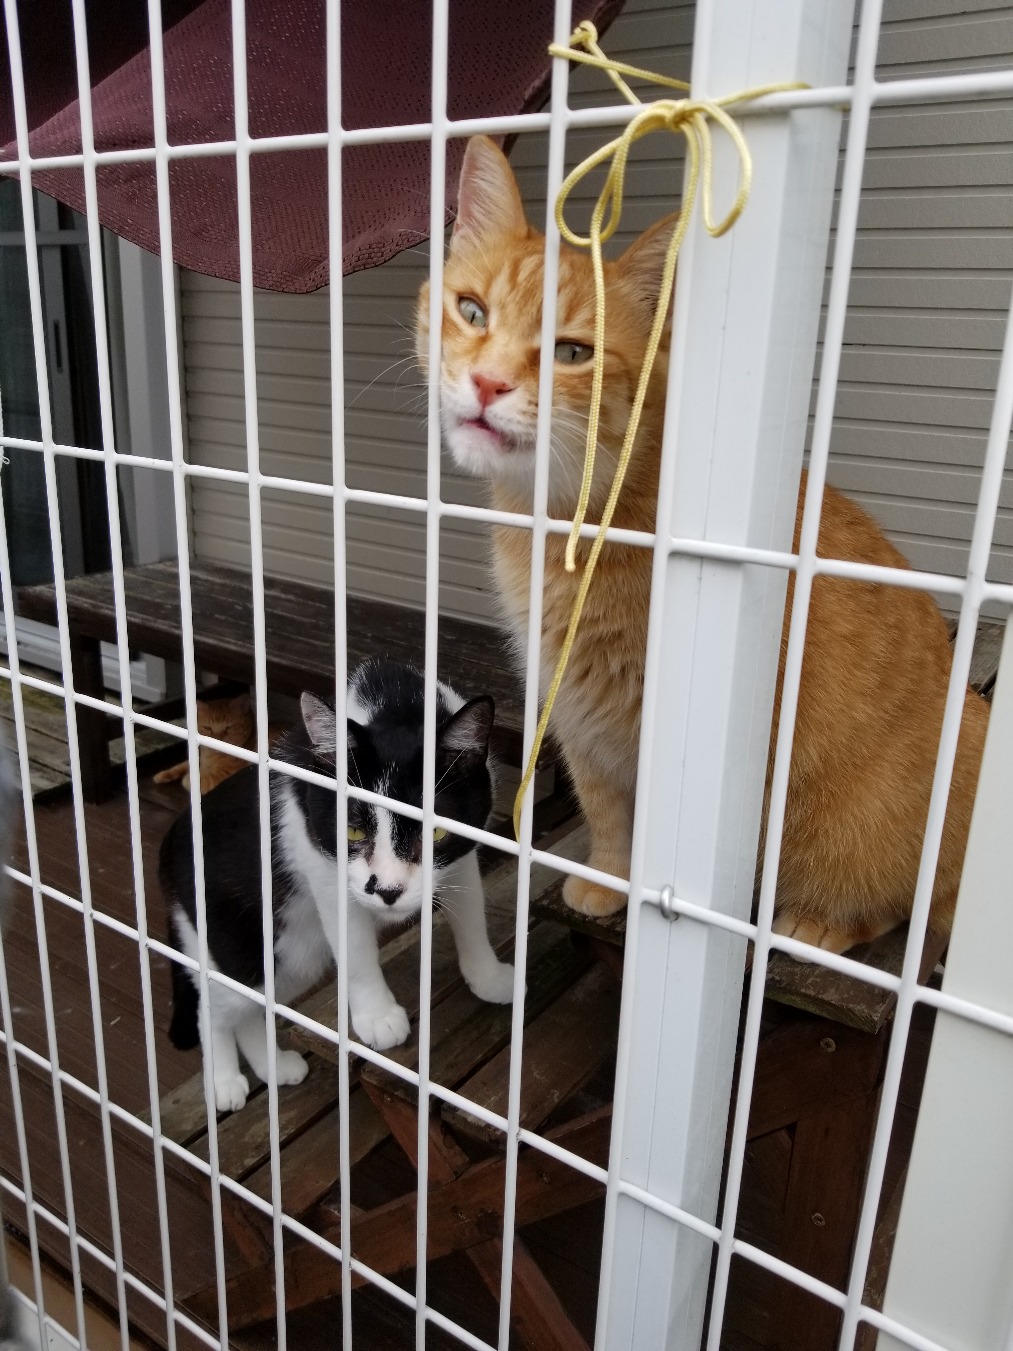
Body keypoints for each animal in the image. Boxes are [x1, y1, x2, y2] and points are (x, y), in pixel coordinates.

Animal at [160, 659, 515, 1112]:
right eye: (352, 830)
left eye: (434, 834)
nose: (388, 890)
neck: (394, 700)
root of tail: (171, 839)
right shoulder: (324, 869)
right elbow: (355, 948)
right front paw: (377, 1016)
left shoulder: (464, 850)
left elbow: (470, 911)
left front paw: (488, 977)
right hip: (232, 940)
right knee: (216, 1006)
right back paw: (223, 1082)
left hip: (294, 954)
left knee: (254, 1004)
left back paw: (275, 1067)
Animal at [417, 134, 990, 956]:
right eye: (471, 312)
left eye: (572, 353)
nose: (488, 384)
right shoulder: (580, 712)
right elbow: (605, 813)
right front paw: (607, 881)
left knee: (901, 905)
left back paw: (812, 924)